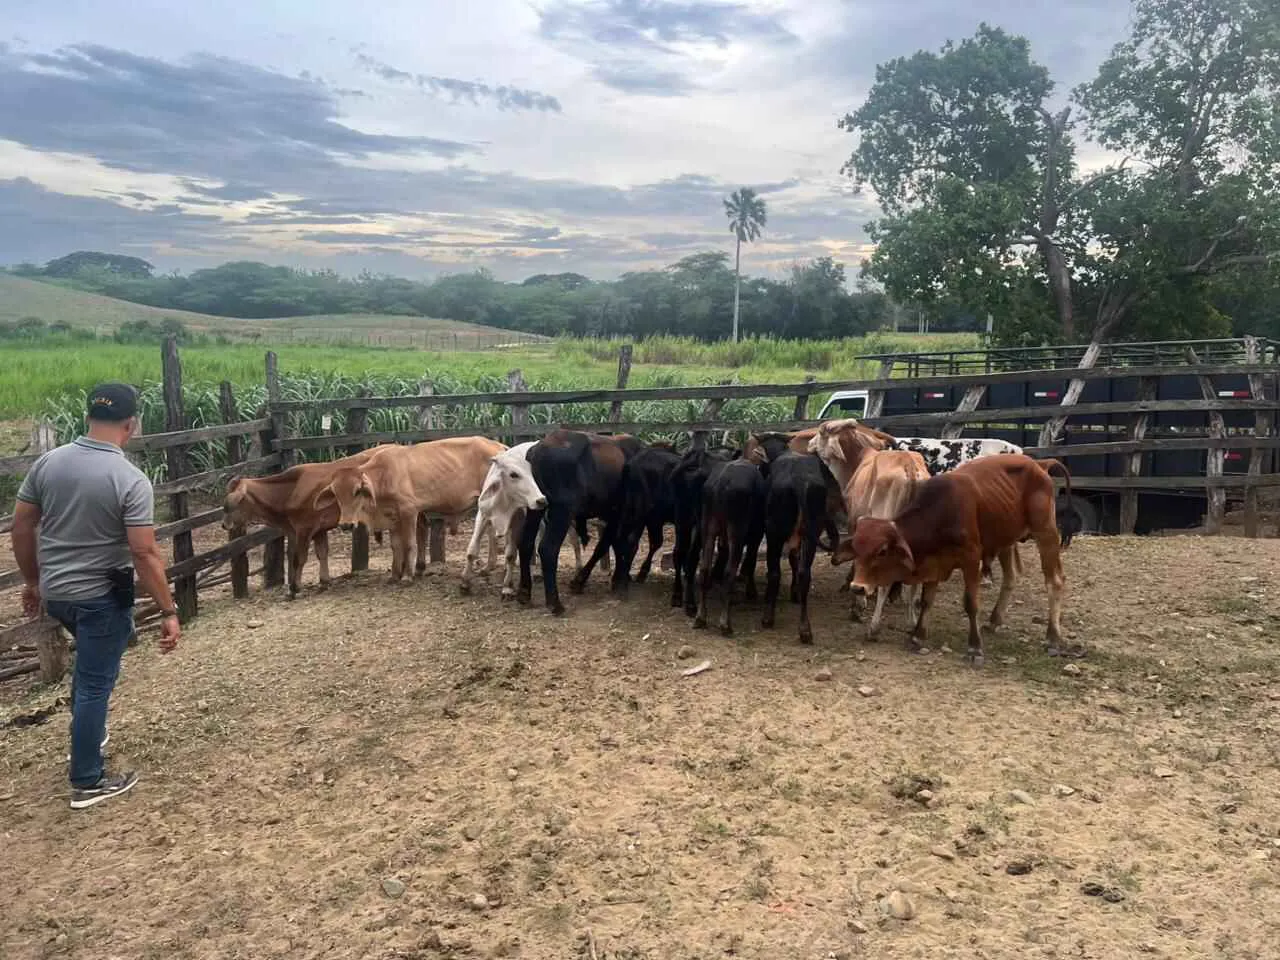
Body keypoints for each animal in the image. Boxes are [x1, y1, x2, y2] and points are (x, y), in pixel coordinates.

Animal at [313, 436, 507, 582]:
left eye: (357, 491)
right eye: (336, 494)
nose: (345, 525)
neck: (384, 475)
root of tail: (499, 446)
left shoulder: (409, 512)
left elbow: (409, 543)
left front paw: (407, 575)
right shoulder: (392, 516)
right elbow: (395, 545)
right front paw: (394, 575)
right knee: (492, 531)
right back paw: (488, 567)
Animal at [517, 430, 630, 615]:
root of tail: (537, 450)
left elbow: (612, 543)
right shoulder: (619, 515)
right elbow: (609, 545)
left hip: (536, 505)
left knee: (525, 543)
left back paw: (524, 593)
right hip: (562, 510)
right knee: (548, 549)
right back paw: (555, 603)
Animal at [693, 458, 766, 636]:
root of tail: (721, 481)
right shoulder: (757, 534)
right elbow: (751, 561)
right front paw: (751, 591)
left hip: (708, 527)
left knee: (704, 570)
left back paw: (700, 617)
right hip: (736, 532)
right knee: (729, 573)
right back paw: (725, 623)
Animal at [844, 454, 1071, 666]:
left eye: (882, 551)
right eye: (856, 549)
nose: (857, 587)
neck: (942, 513)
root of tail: (1039, 464)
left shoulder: (971, 558)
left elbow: (970, 603)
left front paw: (975, 648)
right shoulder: (934, 562)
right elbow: (926, 600)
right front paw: (917, 636)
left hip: (1046, 532)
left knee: (1055, 581)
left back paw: (1052, 637)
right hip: (1006, 539)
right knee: (1011, 577)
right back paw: (994, 620)